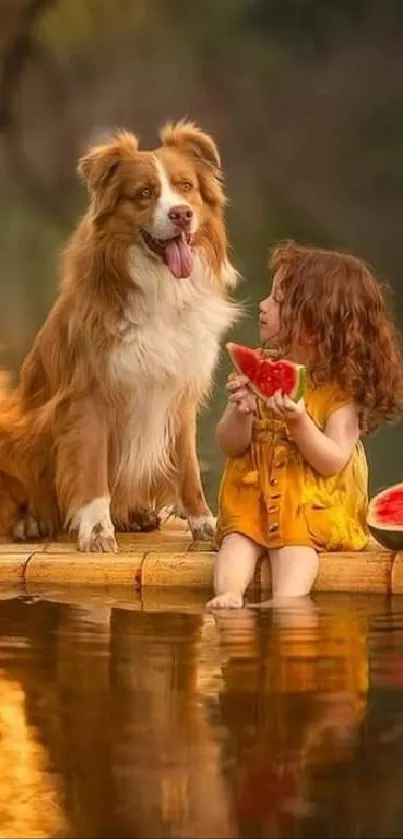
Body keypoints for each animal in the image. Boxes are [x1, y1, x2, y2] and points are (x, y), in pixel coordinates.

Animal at [0, 118, 240, 552]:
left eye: (186, 187)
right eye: (144, 193)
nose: (182, 214)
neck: (160, 288)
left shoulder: (180, 392)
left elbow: (189, 468)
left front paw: (204, 525)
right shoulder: (89, 396)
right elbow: (92, 471)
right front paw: (96, 530)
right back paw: (30, 523)